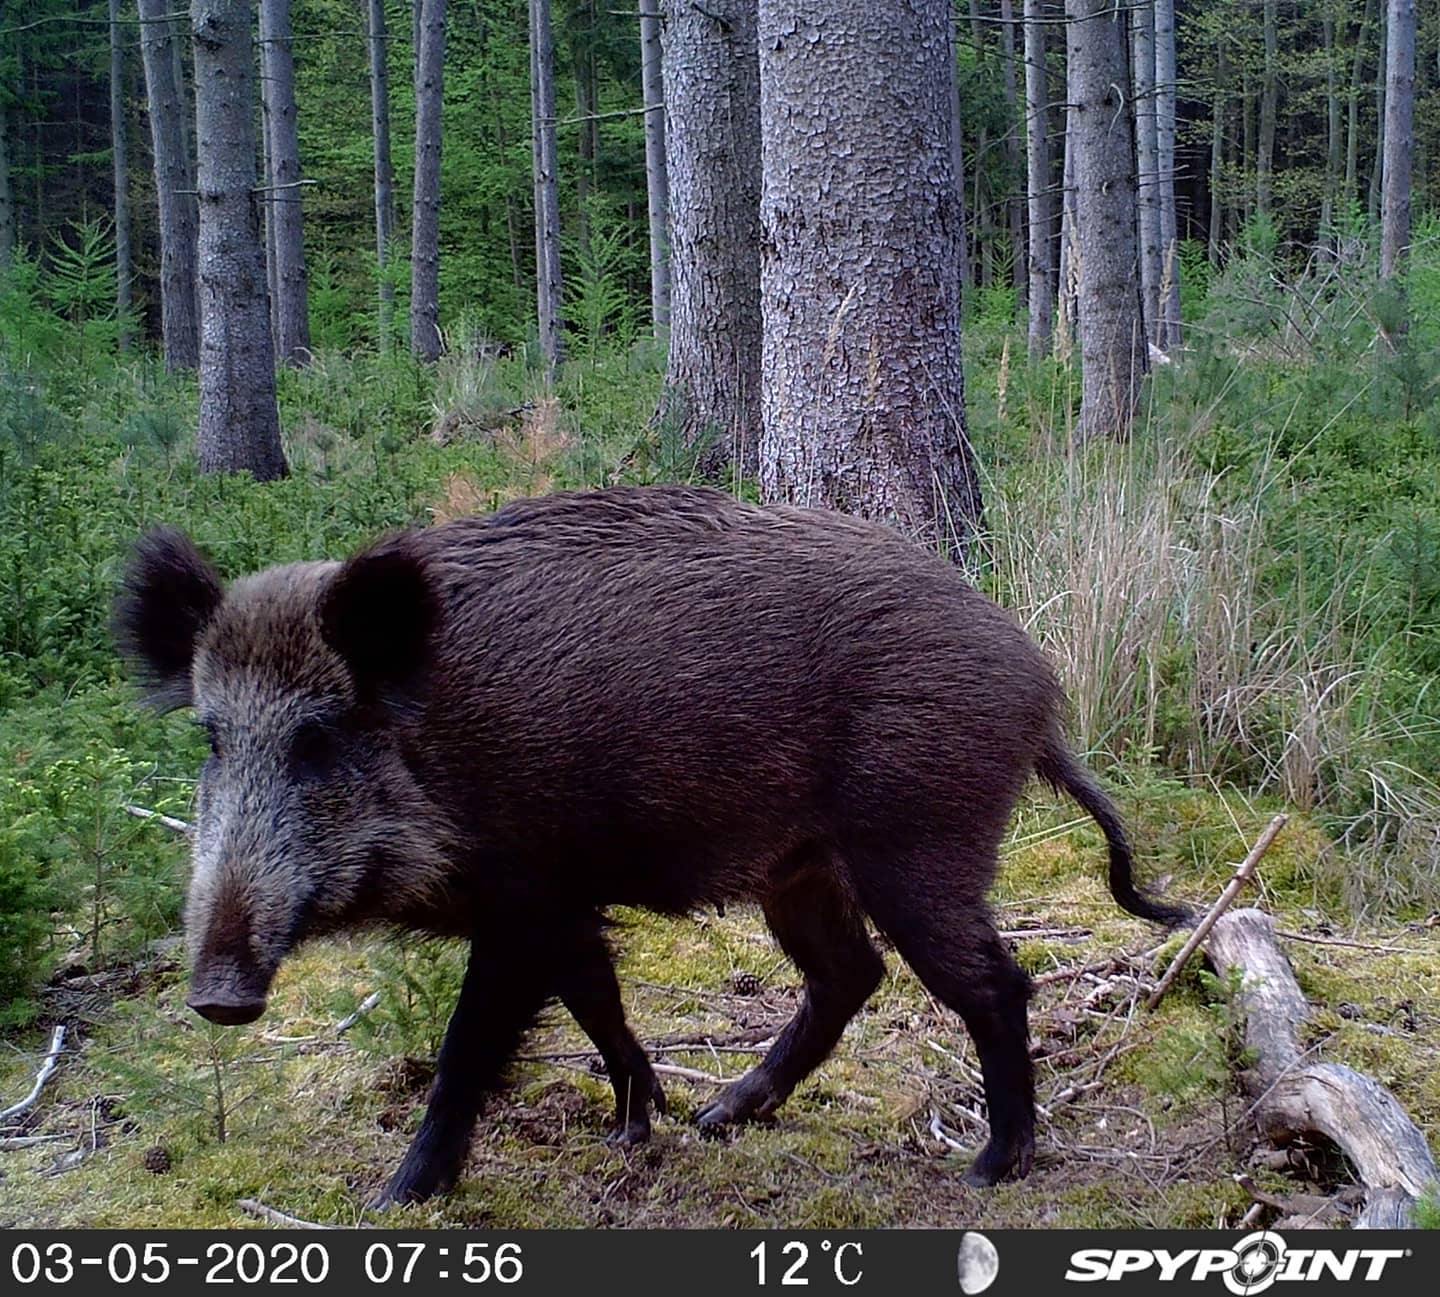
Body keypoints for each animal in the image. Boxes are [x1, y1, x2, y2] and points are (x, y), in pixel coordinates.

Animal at [114, 484, 1188, 1207]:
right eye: (212, 737)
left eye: (319, 737)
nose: (216, 996)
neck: (436, 744)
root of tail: (1039, 685)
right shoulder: (560, 905)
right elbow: (599, 1001)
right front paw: (638, 1130)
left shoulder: (522, 894)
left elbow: (470, 1047)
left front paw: (395, 1198)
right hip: (801, 869)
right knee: (851, 974)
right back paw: (722, 1119)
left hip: (918, 839)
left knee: (993, 981)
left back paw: (990, 1169)